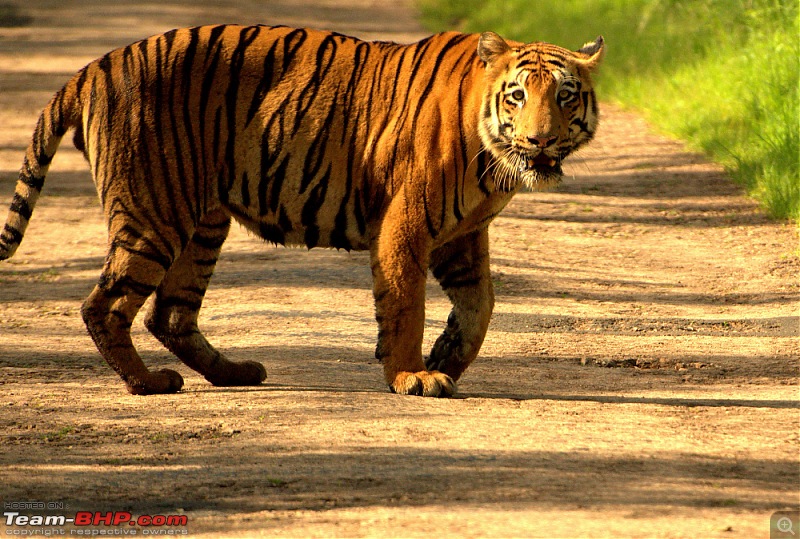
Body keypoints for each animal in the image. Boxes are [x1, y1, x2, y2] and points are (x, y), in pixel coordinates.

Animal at [0, 25, 600, 396]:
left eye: (566, 95)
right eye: (518, 96)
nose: (541, 140)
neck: (492, 160)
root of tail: (95, 66)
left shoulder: (461, 235)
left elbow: (480, 308)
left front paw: (446, 357)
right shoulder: (405, 224)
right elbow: (406, 303)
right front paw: (411, 374)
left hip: (203, 224)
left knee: (168, 312)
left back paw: (234, 372)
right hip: (154, 212)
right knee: (103, 305)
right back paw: (148, 384)